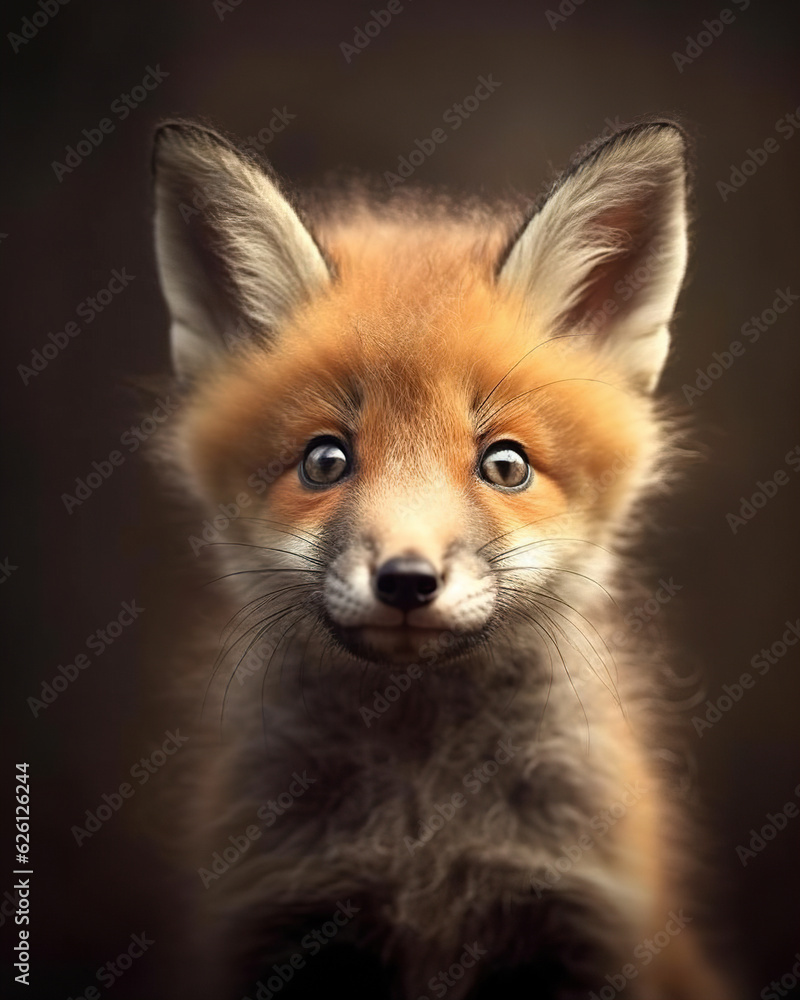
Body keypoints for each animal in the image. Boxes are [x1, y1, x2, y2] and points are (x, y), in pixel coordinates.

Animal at [148, 118, 735, 999]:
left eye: (506, 465)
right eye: (325, 461)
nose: (406, 580)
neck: (423, 832)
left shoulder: (586, 923)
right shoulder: (275, 918)